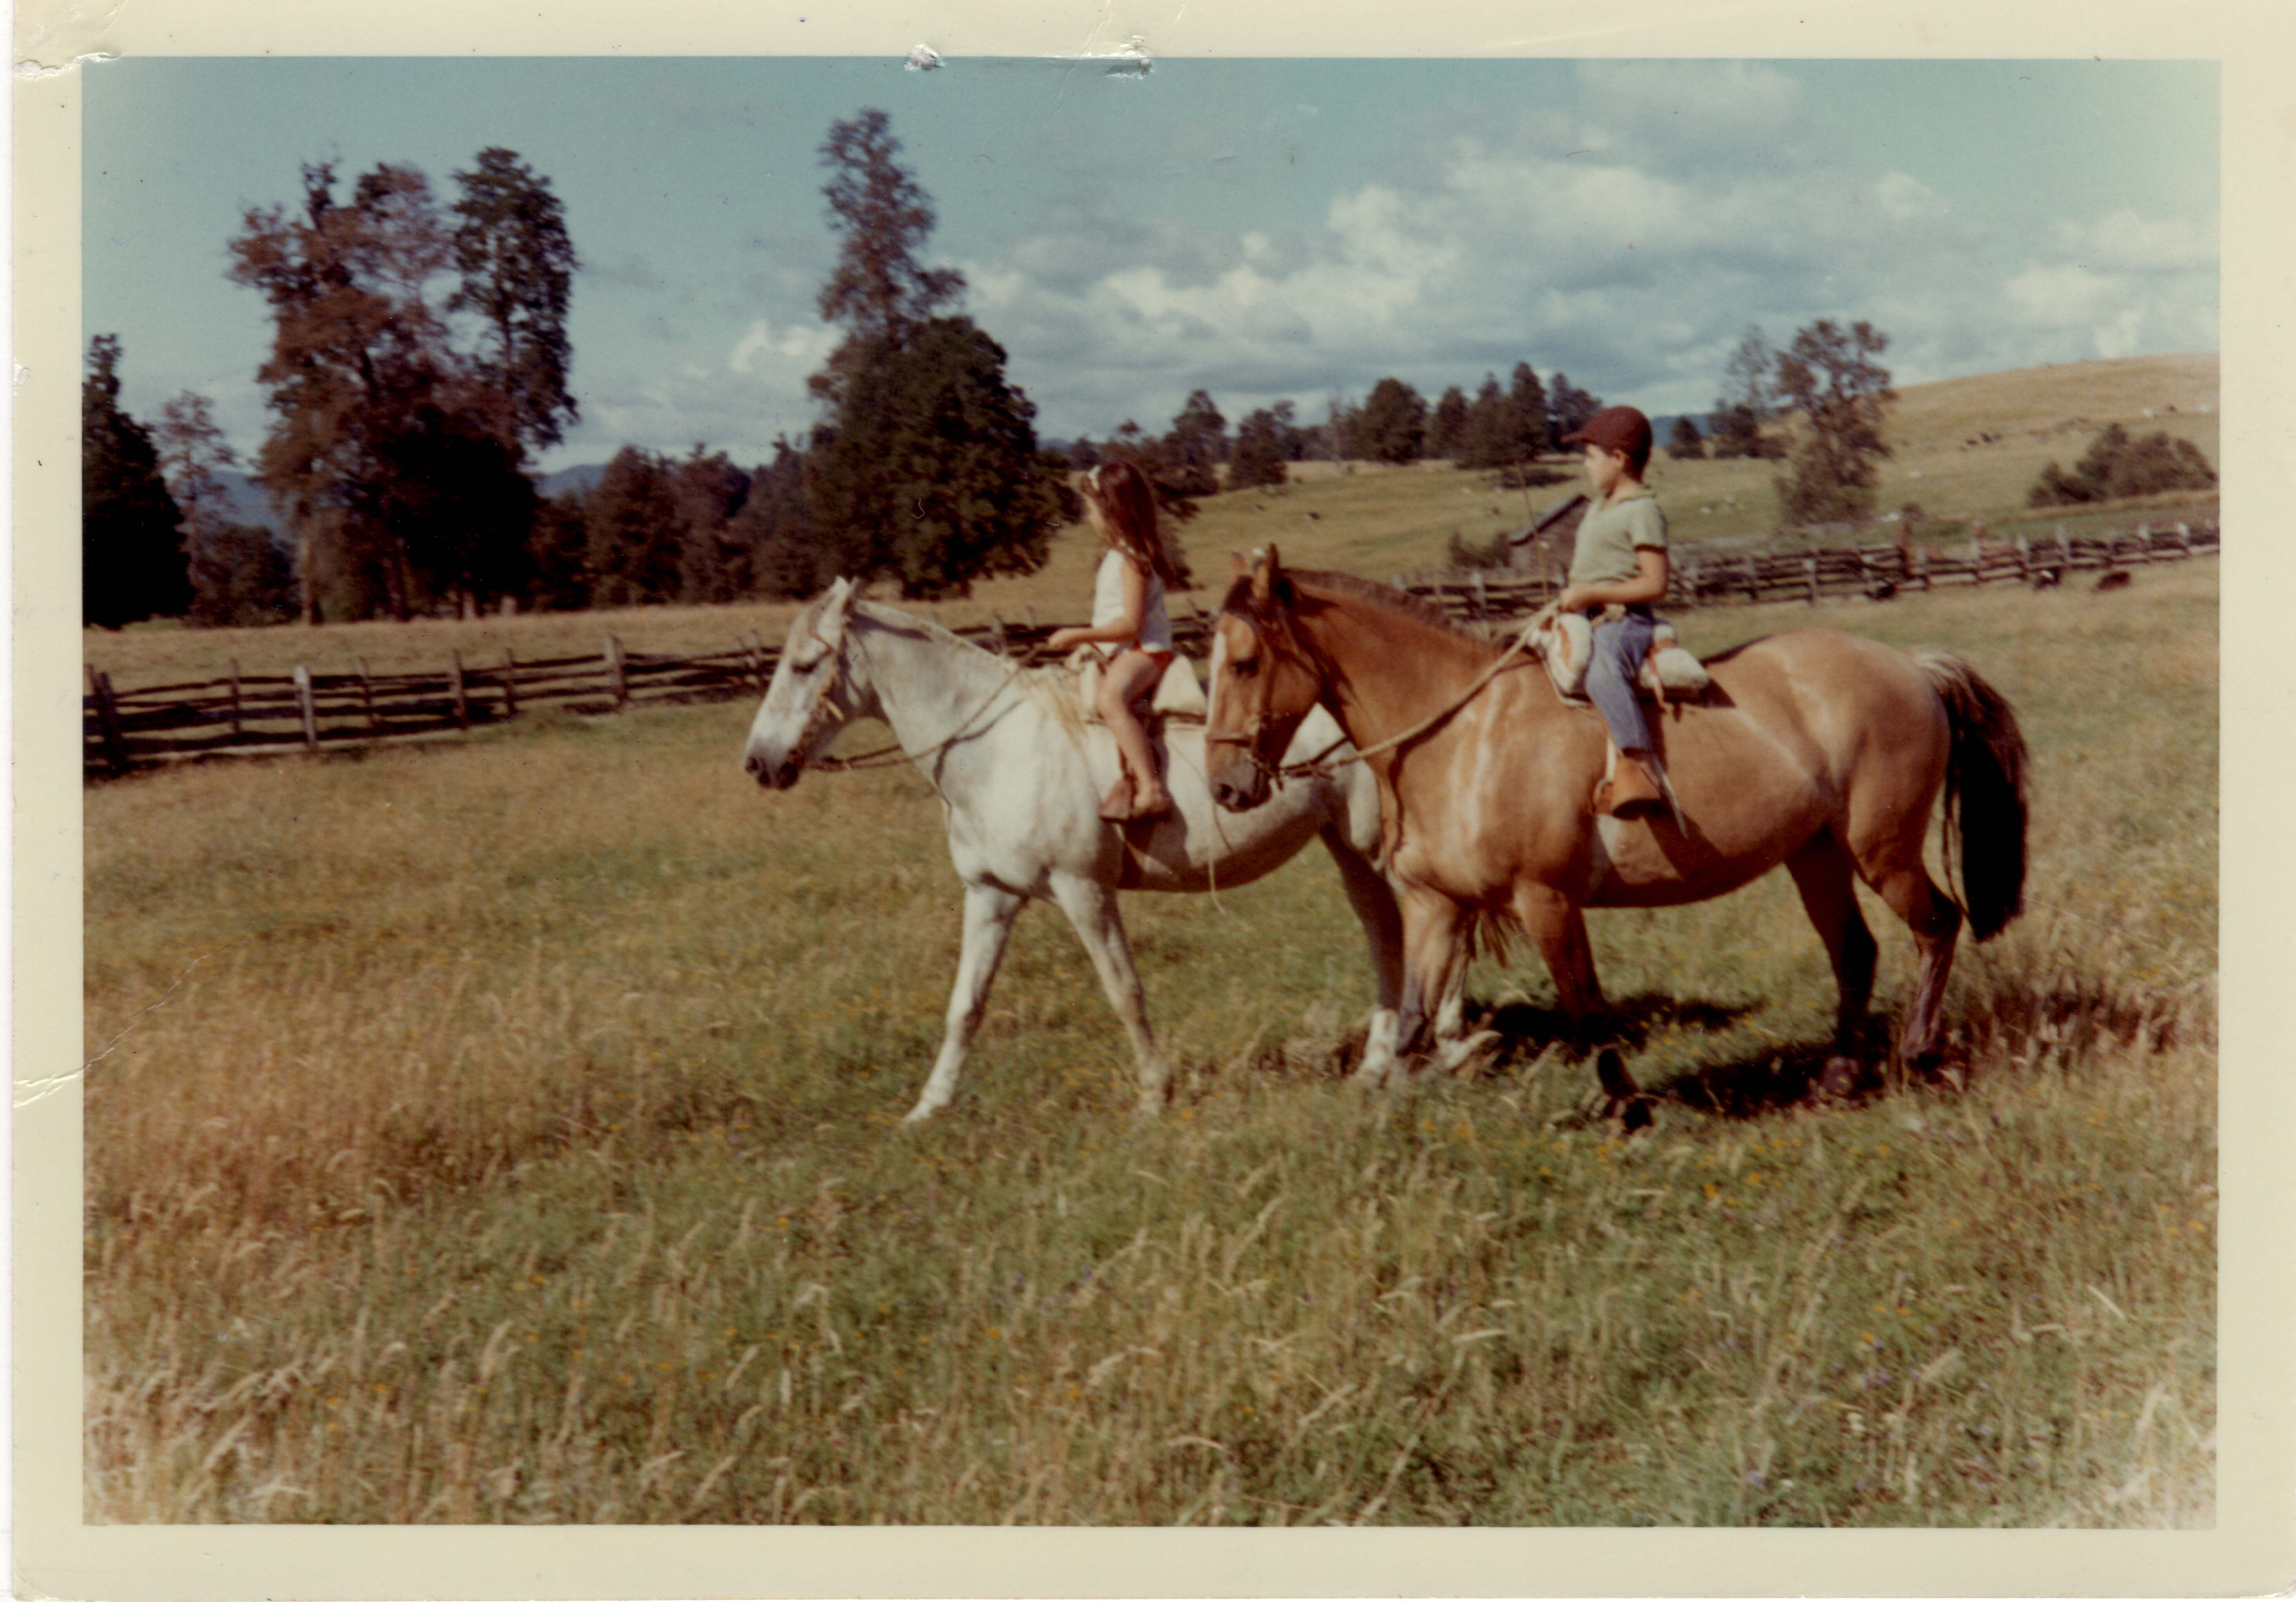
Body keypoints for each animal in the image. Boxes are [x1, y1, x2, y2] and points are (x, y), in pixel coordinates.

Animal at [753, 581, 1451, 1115]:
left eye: (804, 665)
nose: (758, 762)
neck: (997, 749)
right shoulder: (990, 895)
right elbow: (965, 1006)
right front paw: (929, 1107)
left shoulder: (1083, 890)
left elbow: (1123, 990)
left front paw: (1153, 1095)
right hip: (1350, 849)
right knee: (1385, 935)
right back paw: (1378, 1064)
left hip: (1380, 848)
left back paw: (1441, 1040)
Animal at [1203, 548, 2029, 1097]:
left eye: (1243, 663)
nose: (1223, 784)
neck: (1459, 734)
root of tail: (1912, 667)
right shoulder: (1436, 906)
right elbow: (1411, 1018)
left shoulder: (1547, 901)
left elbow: (1587, 1010)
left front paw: (1626, 1106)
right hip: (1817, 853)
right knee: (1855, 951)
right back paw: (1838, 1073)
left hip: (1881, 849)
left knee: (1937, 924)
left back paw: (1918, 1052)